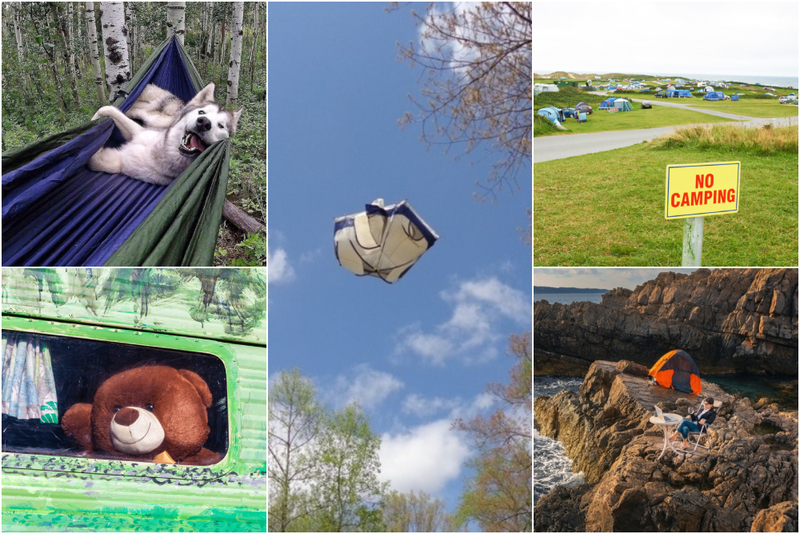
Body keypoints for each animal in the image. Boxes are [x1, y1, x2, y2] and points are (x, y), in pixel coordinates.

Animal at [88, 82, 242, 186]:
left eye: (221, 126)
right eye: (202, 112)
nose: (204, 123)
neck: (161, 152)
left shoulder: (121, 162)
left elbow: (97, 161)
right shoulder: (138, 131)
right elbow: (108, 109)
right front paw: (94, 122)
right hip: (154, 118)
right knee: (137, 109)